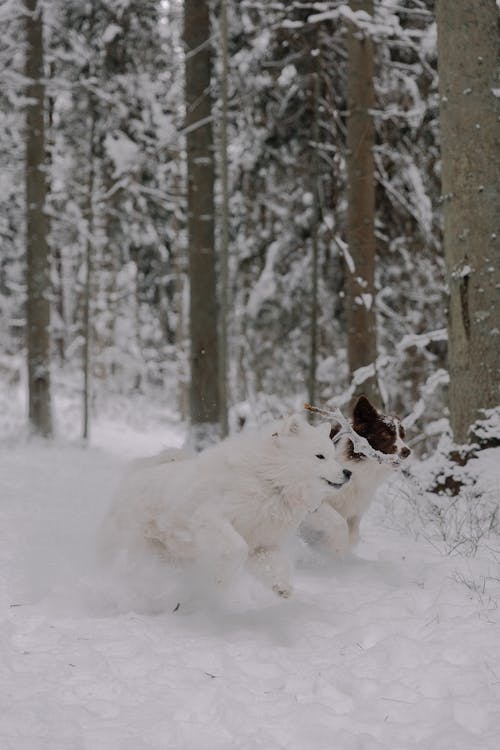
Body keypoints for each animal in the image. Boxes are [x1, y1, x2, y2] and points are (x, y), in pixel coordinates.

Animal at [101, 418, 352, 600]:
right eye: (320, 456)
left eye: (333, 455)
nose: (348, 472)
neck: (270, 482)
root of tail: (135, 476)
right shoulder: (211, 519)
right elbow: (236, 548)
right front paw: (220, 581)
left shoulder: (263, 545)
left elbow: (275, 564)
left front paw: (282, 587)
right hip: (130, 542)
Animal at [300, 394, 410, 560]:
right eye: (385, 434)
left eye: (402, 436)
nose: (407, 451)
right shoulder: (313, 500)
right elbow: (339, 524)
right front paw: (337, 553)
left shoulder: (355, 509)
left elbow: (354, 534)